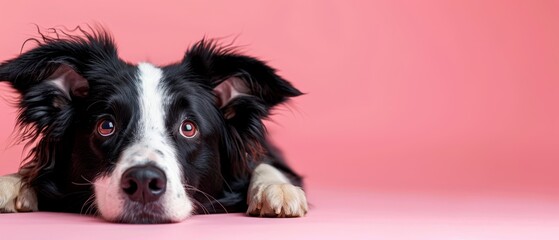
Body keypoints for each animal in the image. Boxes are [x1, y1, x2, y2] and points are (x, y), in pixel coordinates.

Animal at [0, 27, 308, 223]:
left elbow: (265, 166)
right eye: (106, 125)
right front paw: (11, 183)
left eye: (188, 127)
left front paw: (276, 189)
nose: (143, 182)